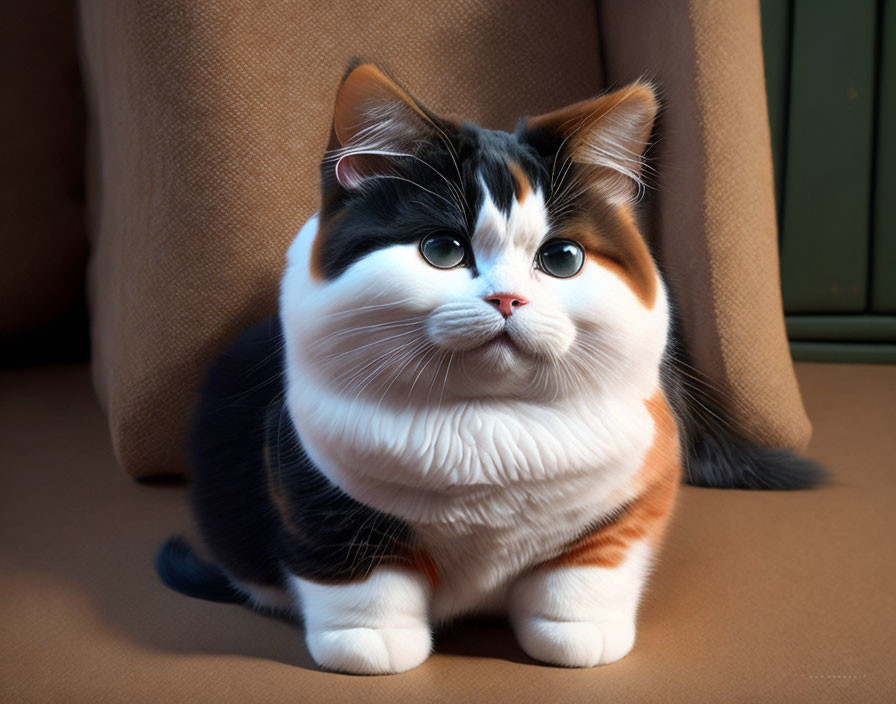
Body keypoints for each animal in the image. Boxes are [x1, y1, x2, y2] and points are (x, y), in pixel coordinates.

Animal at [156, 63, 824, 672]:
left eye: (562, 259)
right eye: (442, 250)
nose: (508, 300)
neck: (490, 422)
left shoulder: (635, 489)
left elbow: (589, 569)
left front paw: (577, 634)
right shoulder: (313, 487)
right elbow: (358, 575)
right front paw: (370, 644)